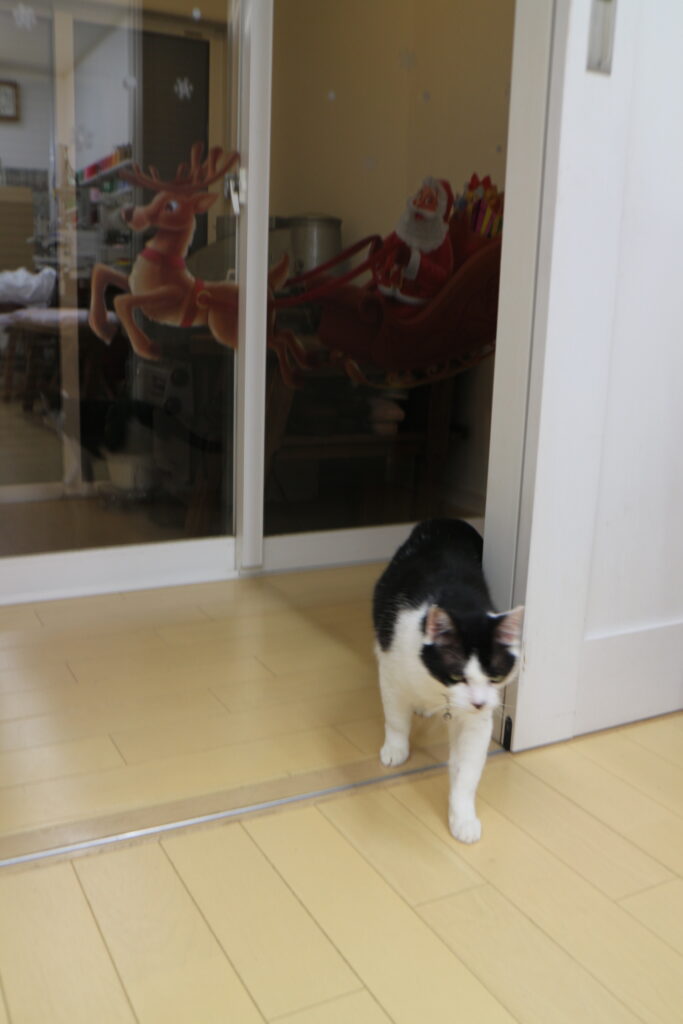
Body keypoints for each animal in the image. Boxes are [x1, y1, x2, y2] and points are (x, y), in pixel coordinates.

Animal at [372, 518, 523, 843]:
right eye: (457, 675)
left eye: (495, 676)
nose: (478, 702)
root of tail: (448, 520)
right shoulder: (391, 672)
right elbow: (395, 718)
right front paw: (395, 749)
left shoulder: (477, 721)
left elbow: (467, 772)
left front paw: (463, 819)